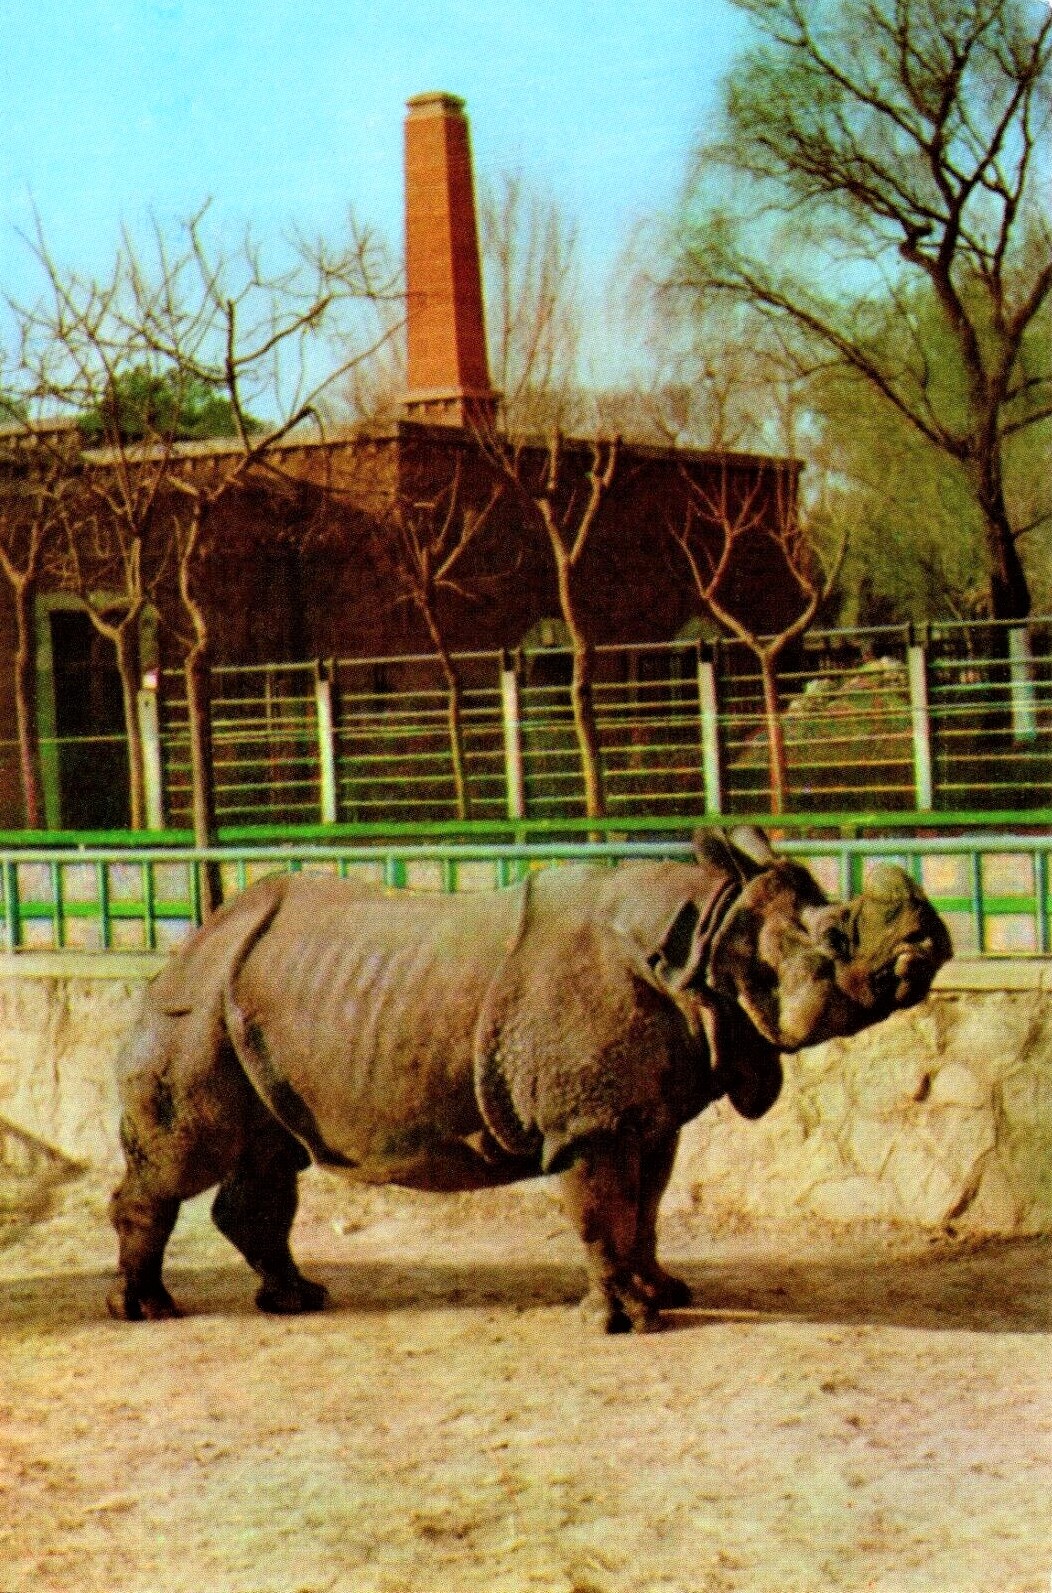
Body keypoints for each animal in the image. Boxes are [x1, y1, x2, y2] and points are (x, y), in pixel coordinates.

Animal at [108, 828, 950, 1333]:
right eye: (839, 935)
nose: (931, 940)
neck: (710, 936)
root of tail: (188, 943)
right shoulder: (590, 1123)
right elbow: (603, 1210)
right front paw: (626, 1323)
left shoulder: (648, 1115)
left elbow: (645, 1207)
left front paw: (665, 1293)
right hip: (198, 1010)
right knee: (185, 1159)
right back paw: (146, 1309)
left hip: (259, 1003)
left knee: (269, 1156)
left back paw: (297, 1300)